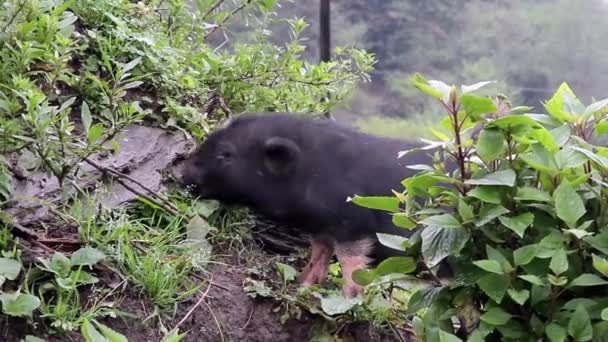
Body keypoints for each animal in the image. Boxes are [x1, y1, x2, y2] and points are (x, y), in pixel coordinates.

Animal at [178, 112, 448, 296]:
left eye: (226, 154)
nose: (179, 172)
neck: (310, 171)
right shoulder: (323, 227)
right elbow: (318, 255)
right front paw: (303, 286)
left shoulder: (352, 222)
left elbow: (352, 265)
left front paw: (348, 299)